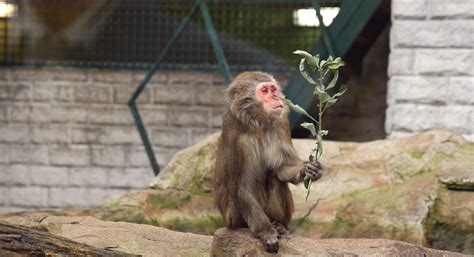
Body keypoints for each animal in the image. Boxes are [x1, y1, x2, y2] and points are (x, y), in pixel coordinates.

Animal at [214, 71, 322, 251]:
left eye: (273, 89)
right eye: (264, 91)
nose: (276, 97)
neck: (258, 123)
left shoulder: (282, 124)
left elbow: (282, 167)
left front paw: (309, 169)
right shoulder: (235, 135)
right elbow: (240, 187)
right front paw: (266, 232)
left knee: (274, 178)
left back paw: (280, 225)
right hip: (233, 219)